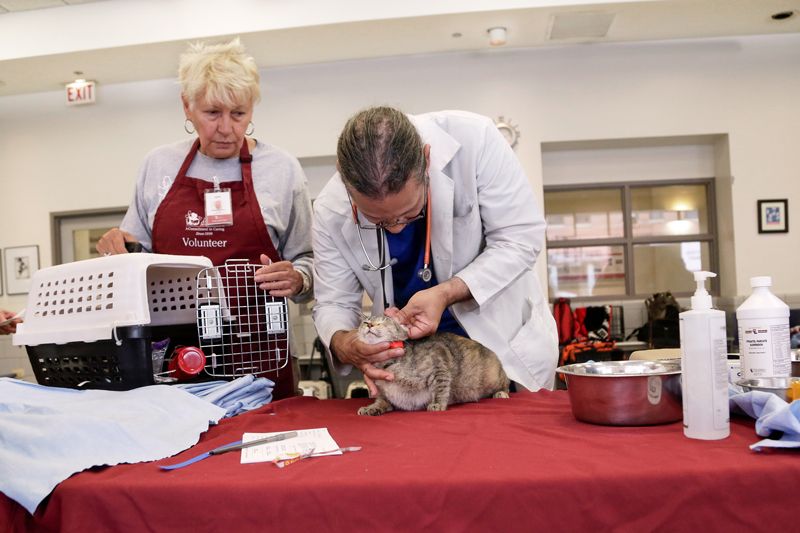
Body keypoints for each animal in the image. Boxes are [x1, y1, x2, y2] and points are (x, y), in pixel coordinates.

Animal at [354, 314, 506, 414]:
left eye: (383, 322)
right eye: (365, 321)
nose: (370, 325)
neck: (385, 365)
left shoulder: (438, 363)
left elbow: (440, 388)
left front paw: (437, 404)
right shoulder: (384, 396)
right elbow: (380, 402)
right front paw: (371, 408)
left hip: (494, 377)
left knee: (505, 383)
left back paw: (501, 393)